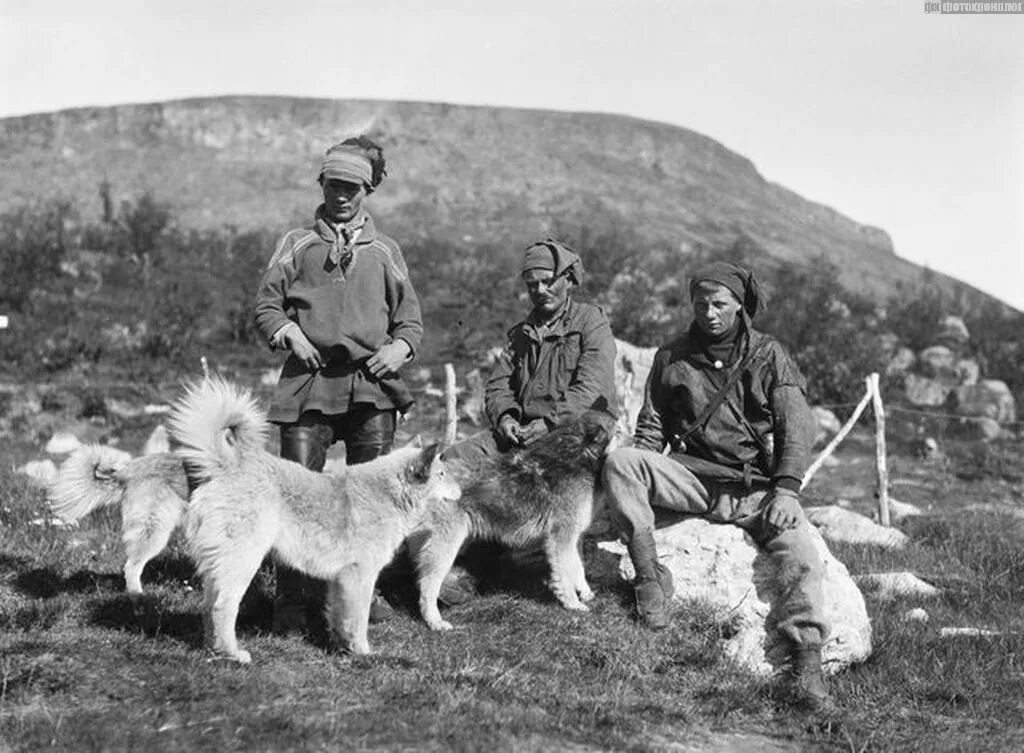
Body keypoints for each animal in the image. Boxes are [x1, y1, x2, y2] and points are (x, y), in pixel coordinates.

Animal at [409, 409, 614, 635]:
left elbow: (578, 568)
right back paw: (435, 622)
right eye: (619, 426)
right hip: (444, 547)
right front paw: (572, 604)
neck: (576, 455)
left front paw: (585, 593)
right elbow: (566, 574)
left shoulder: (572, 539)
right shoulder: (561, 539)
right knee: (427, 587)